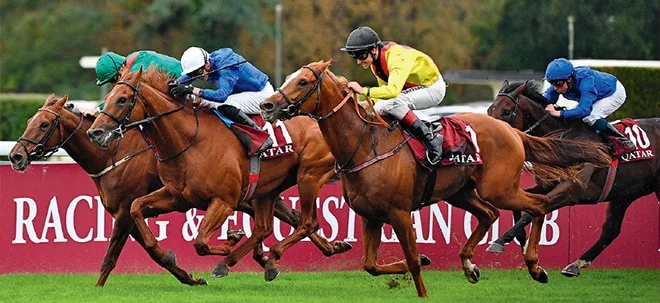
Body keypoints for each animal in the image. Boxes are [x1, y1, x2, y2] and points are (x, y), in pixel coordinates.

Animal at [9, 94, 346, 286]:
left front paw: (188, 274)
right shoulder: (132, 211)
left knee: (294, 218)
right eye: (29, 120)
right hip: (253, 194)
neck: (113, 155)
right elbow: (116, 257)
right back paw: (315, 250)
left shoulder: (125, 212)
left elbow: (128, 254)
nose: (15, 156)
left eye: (43, 125)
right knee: (287, 218)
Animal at [87, 68, 354, 284]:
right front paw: (170, 256)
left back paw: (262, 258)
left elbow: (200, 243)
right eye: (107, 99)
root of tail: (320, 118)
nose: (94, 132)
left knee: (306, 222)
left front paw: (230, 241)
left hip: (308, 176)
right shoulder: (177, 197)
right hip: (267, 188)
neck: (189, 141)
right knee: (266, 227)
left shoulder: (223, 201)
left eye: (122, 99)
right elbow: (137, 209)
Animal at [255, 60, 612, 300]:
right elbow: (371, 265)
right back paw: (470, 265)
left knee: (537, 204)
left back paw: (536, 267)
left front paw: (423, 285)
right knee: (490, 214)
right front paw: (425, 260)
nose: (268, 105)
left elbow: (413, 261)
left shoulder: (399, 213)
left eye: (303, 82)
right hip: (460, 192)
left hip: (499, 188)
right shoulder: (371, 216)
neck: (365, 144)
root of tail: (513, 131)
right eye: (289, 79)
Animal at [484, 81, 660, 278]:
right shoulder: (546, 185)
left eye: (507, 111)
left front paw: (501, 240)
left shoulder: (571, 191)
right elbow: (520, 207)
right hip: (624, 194)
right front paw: (517, 240)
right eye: (489, 110)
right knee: (611, 229)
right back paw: (576, 264)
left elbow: (535, 210)